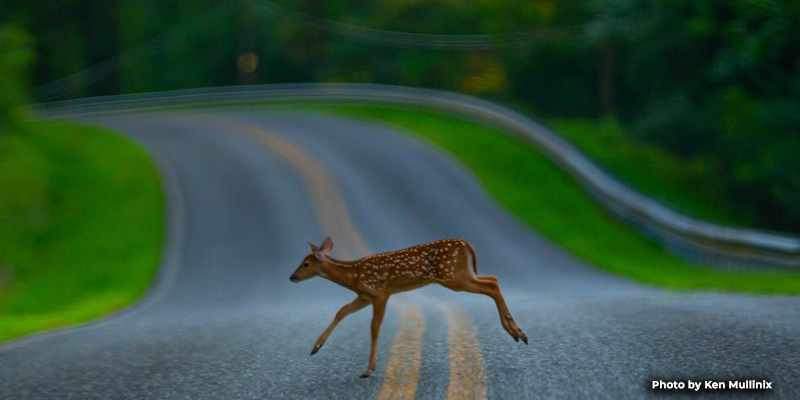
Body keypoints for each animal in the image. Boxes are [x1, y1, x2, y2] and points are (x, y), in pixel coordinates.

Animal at [289, 237, 527, 378]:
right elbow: (341, 311)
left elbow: (374, 327)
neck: (353, 275)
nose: (292, 277)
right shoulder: (364, 296)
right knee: (493, 279)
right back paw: (516, 332)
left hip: (453, 277)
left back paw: (517, 332)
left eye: (306, 264)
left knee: (491, 285)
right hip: (462, 274)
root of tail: (467, 244)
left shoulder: (380, 293)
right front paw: (316, 347)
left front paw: (369, 368)